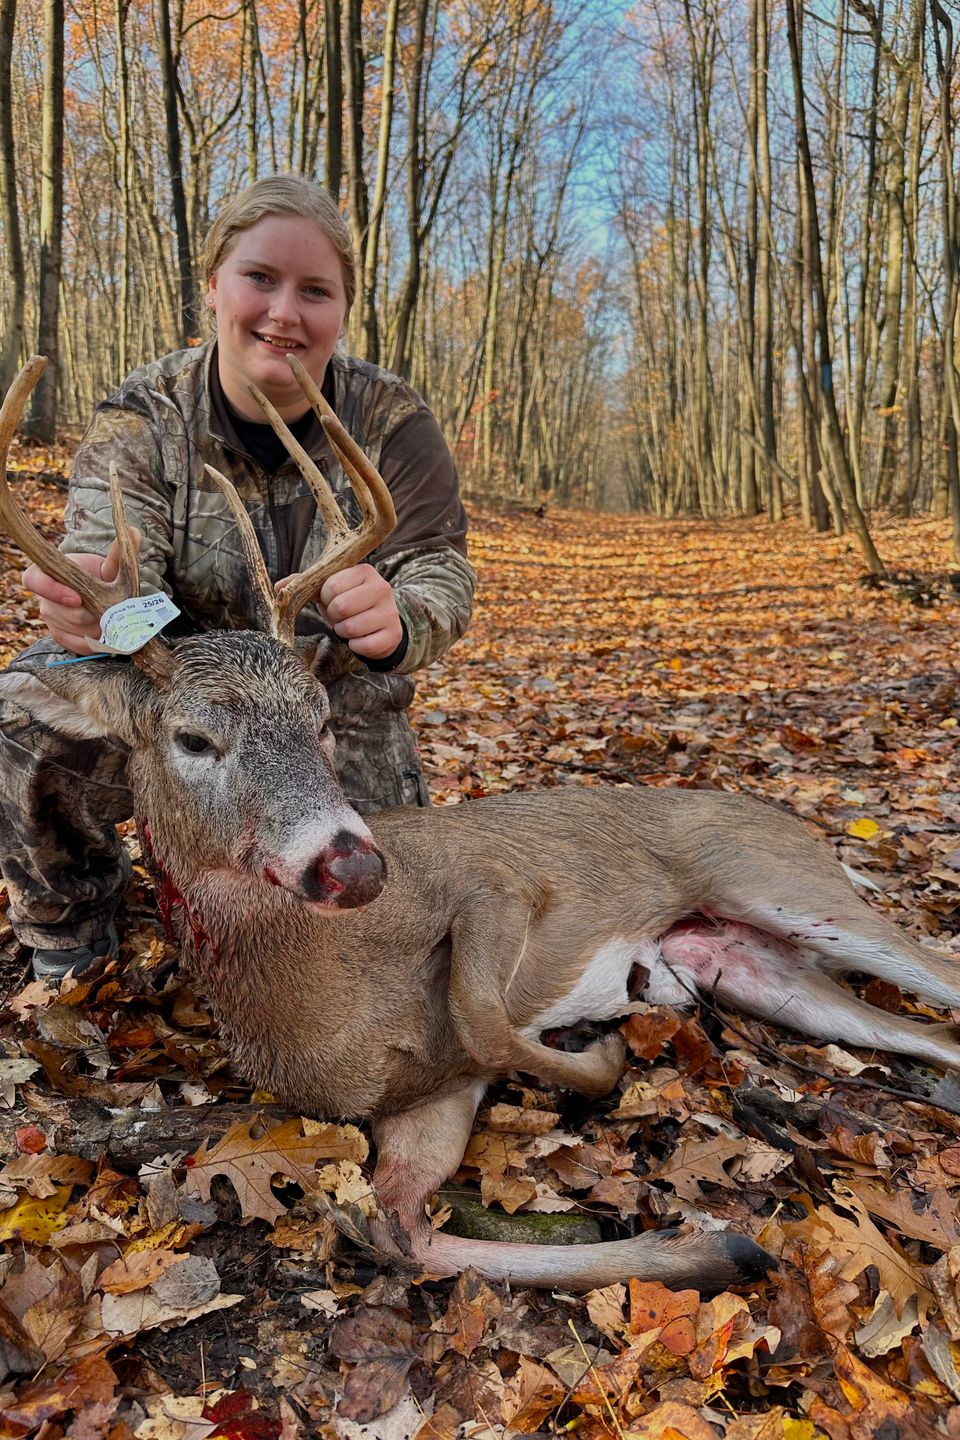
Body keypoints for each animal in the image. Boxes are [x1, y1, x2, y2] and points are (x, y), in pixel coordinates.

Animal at [4, 355, 960, 1294]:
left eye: (322, 719)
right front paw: (712, 1249)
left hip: (779, 881)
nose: (354, 866)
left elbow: (483, 1017)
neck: (329, 1000)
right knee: (932, 1034)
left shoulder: (496, 884)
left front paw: (602, 1058)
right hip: (760, 972)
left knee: (937, 970)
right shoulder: (426, 1096)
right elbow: (398, 1227)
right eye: (194, 739)